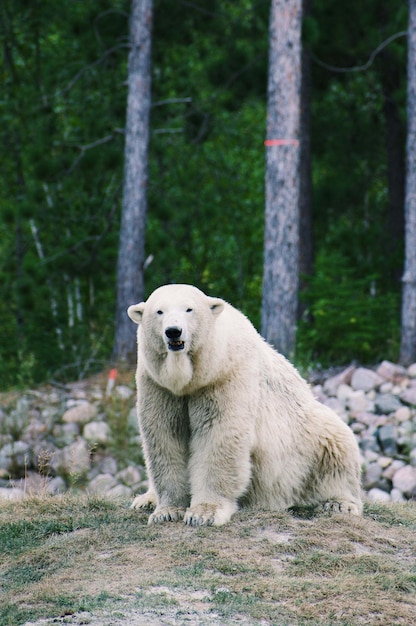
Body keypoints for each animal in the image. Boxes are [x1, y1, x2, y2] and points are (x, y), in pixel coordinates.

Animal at [127, 286, 360, 524]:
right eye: (159, 311)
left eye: (189, 309)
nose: (173, 331)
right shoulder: (158, 385)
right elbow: (165, 435)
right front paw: (166, 512)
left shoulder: (226, 377)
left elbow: (219, 434)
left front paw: (204, 513)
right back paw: (145, 500)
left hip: (308, 436)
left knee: (336, 446)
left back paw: (338, 503)